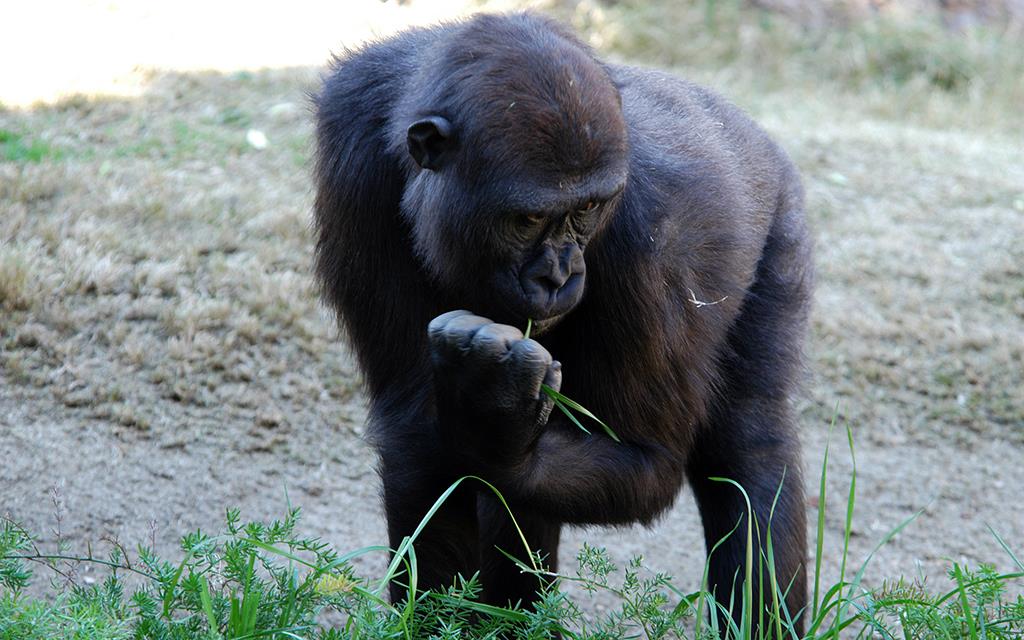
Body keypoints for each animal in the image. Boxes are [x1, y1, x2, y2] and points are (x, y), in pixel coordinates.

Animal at [315, 9, 811, 634]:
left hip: (782, 213)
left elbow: (643, 460)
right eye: (528, 218)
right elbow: (418, 437)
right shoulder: (350, 145)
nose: (559, 275)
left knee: (751, 441)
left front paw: (496, 424)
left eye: (588, 209)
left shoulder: (657, 230)